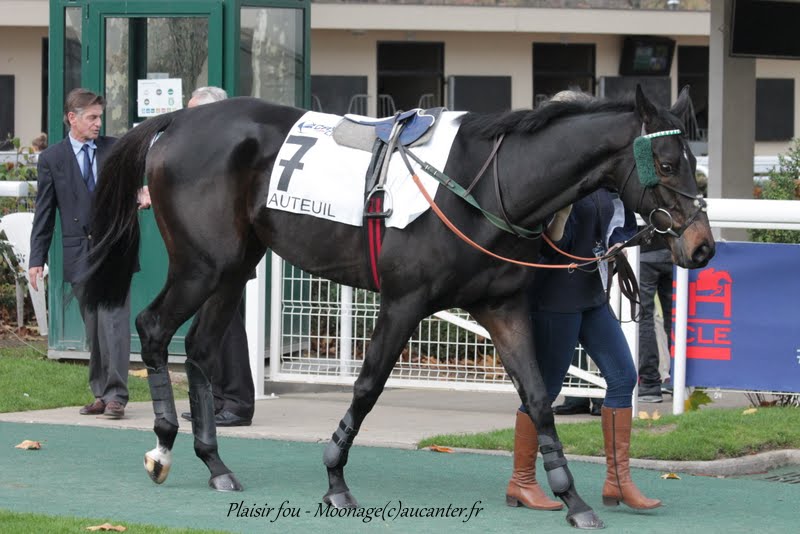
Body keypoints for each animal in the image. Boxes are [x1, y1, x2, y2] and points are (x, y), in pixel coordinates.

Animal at [84, 86, 716, 528]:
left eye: (695, 165)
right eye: (665, 163)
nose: (701, 246)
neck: (484, 186)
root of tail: (176, 120)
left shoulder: (503, 306)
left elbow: (537, 398)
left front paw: (572, 497)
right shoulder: (403, 301)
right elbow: (367, 387)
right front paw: (335, 478)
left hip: (235, 265)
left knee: (199, 348)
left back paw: (215, 463)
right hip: (202, 264)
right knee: (153, 328)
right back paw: (163, 446)